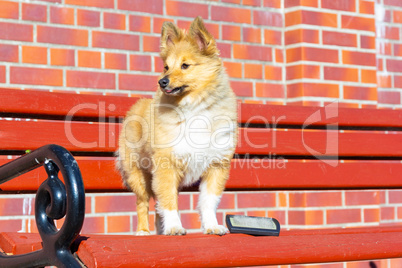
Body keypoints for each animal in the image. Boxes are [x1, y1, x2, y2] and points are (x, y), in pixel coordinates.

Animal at [116, 16, 237, 234]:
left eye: (185, 65)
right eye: (166, 67)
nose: (162, 82)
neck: (195, 106)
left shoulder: (216, 165)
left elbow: (208, 202)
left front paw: (212, 226)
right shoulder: (166, 165)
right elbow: (168, 200)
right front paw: (174, 227)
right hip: (138, 174)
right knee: (143, 202)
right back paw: (143, 231)